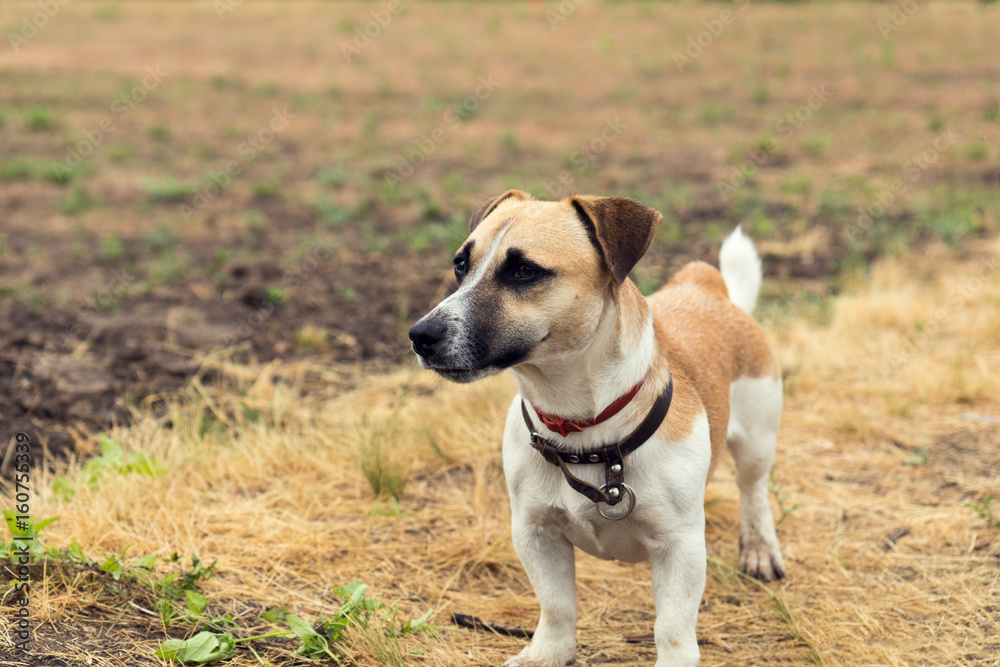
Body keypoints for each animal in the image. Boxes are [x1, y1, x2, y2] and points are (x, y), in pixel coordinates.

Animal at [410, 190, 784, 664]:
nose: (420, 335)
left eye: (524, 271)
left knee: (754, 493)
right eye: (461, 264)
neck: (579, 428)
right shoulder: (535, 534)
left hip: (757, 442)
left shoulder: (679, 548)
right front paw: (547, 653)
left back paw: (760, 549)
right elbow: (556, 605)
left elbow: (672, 627)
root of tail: (711, 291)